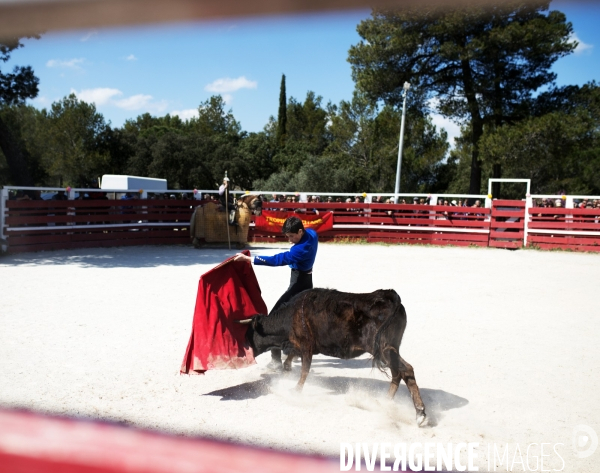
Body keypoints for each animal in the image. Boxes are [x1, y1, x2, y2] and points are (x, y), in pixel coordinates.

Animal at [238, 286, 426, 426]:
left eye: (249, 333)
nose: (244, 352)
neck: (291, 315)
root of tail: (389, 296)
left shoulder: (306, 345)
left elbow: (304, 370)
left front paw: (296, 390)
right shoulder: (301, 346)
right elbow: (291, 358)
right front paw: (287, 370)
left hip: (384, 349)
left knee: (406, 370)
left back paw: (420, 414)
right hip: (391, 349)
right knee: (398, 373)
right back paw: (386, 402)